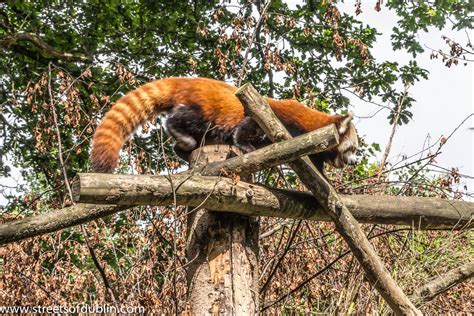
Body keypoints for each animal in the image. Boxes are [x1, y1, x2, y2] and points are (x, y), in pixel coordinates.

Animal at [91, 78, 360, 174]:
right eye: (354, 149)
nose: (353, 162)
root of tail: (189, 81)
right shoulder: (278, 119)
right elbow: (247, 126)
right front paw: (245, 145)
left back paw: (184, 148)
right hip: (204, 111)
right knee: (180, 119)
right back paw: (182, 137)